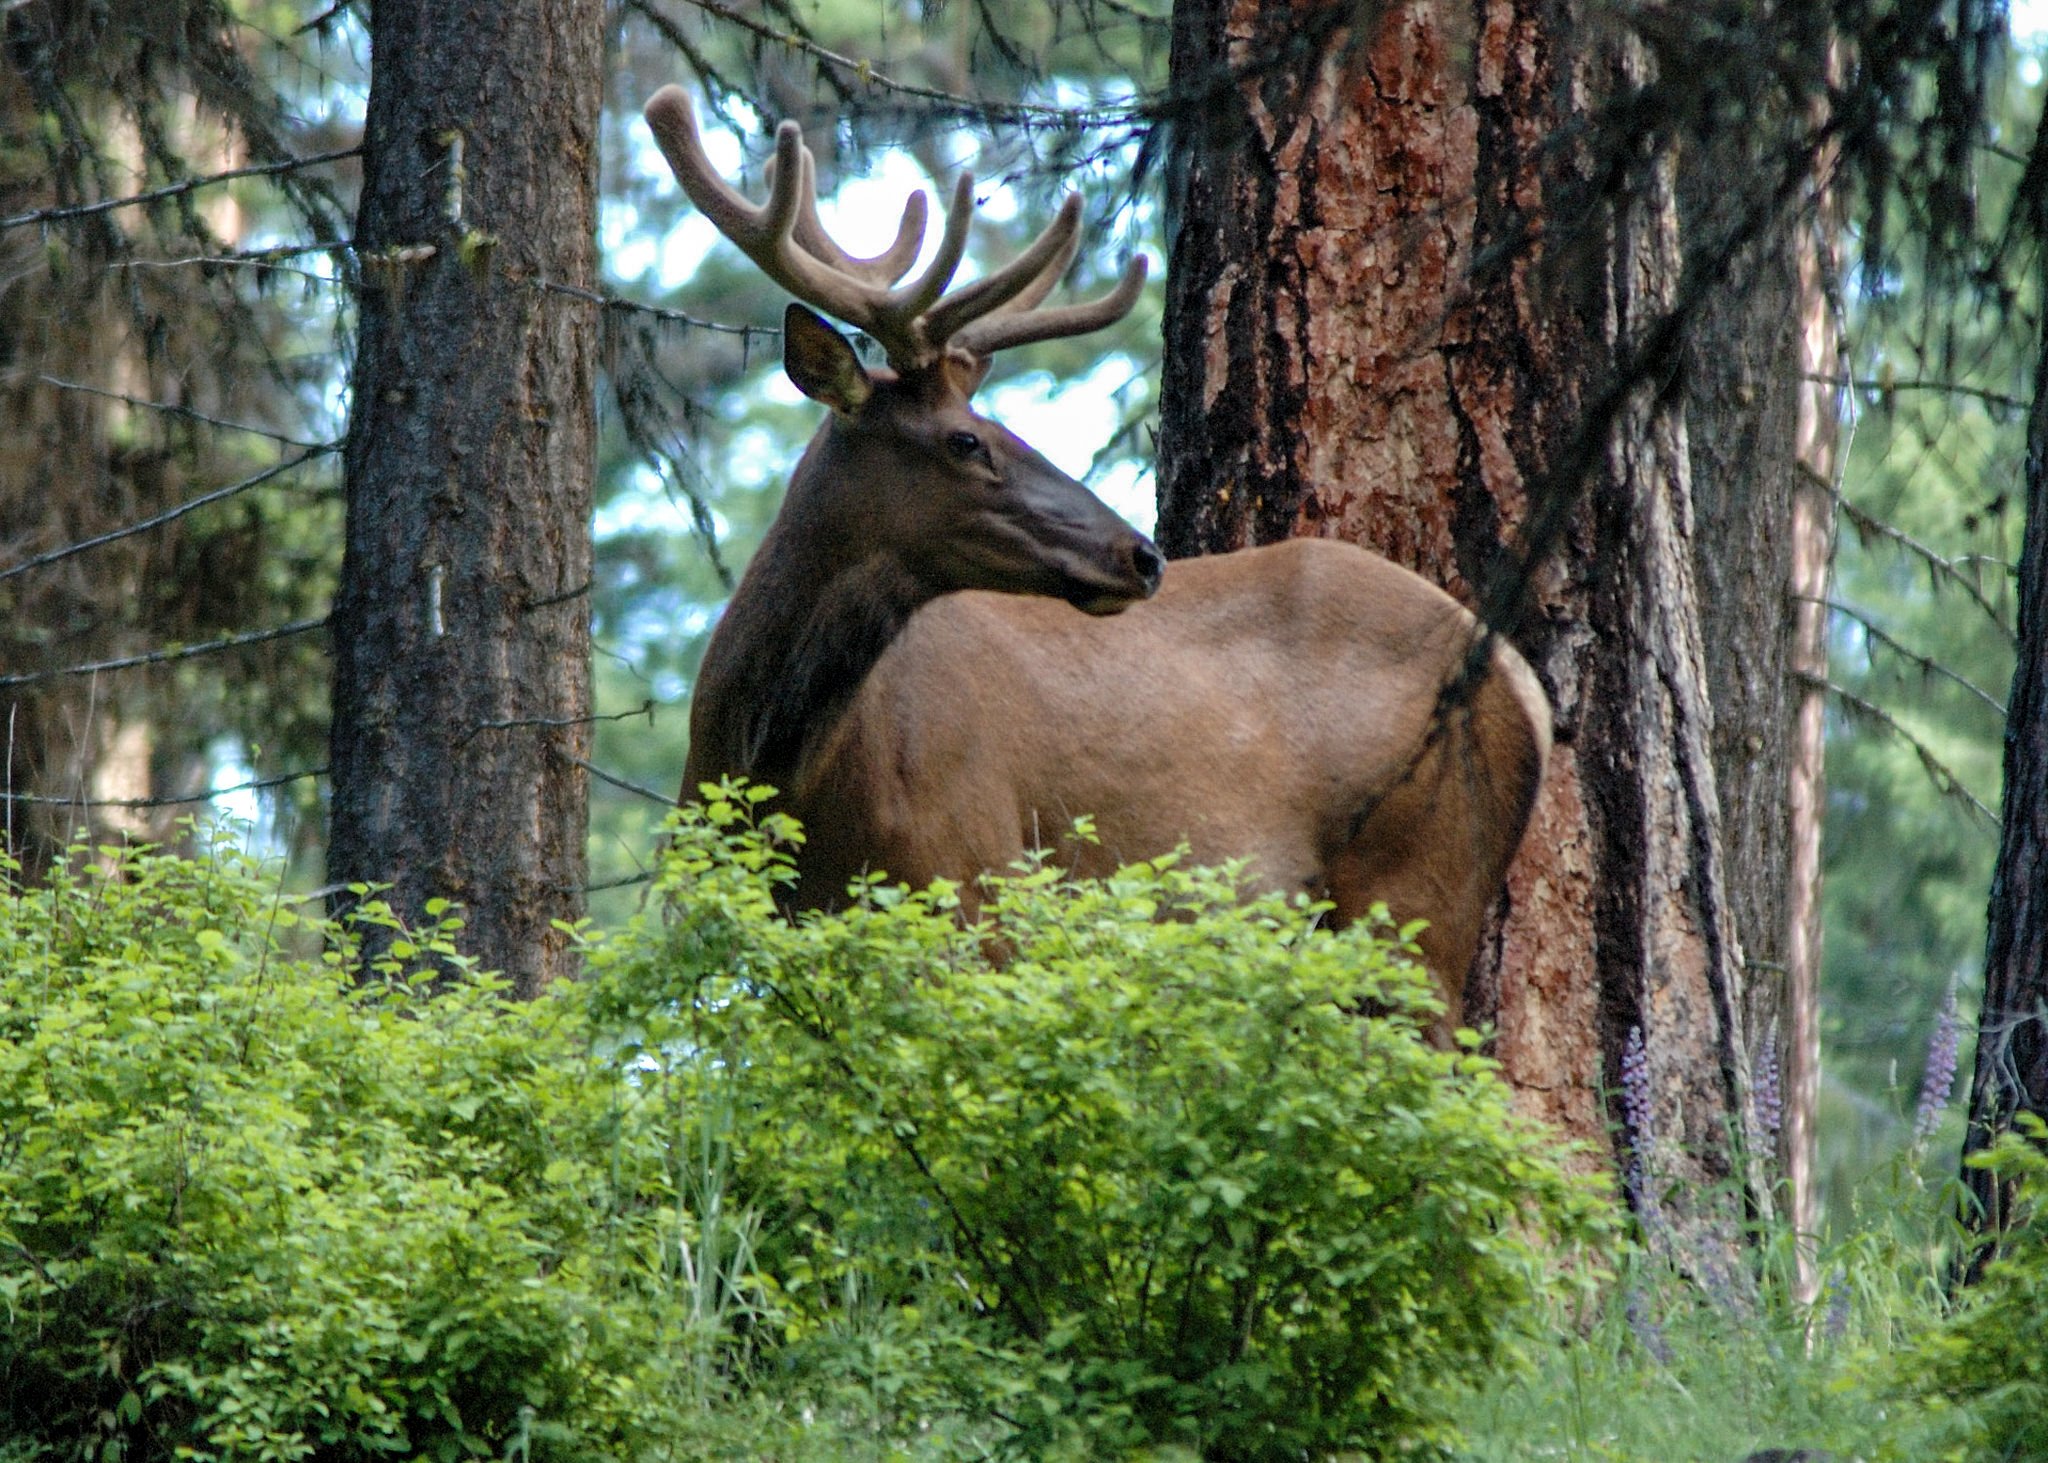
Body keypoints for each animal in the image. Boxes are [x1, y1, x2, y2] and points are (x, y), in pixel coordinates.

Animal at [645, 87, 1552, 1029]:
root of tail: (1526, 687)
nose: (1142, 555)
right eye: (967, 439)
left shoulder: (974, 881)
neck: (777, 765)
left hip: (1415, 895)